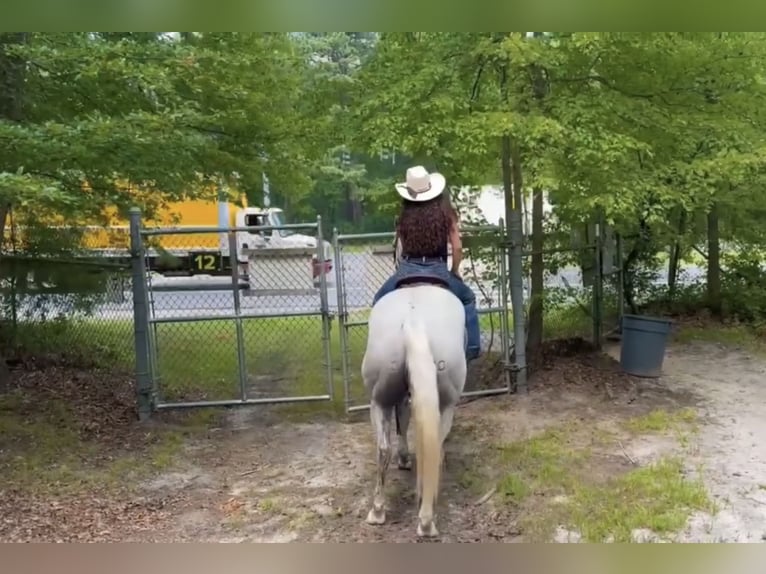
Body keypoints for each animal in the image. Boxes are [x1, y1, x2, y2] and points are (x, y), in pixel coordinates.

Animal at [360, 272, 468, 538]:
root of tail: (413, 320)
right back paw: (426, 520)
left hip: (379, 401)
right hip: (446, 404)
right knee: (433, 445)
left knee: (383, 449)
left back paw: (378, 511)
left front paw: (404, 459)